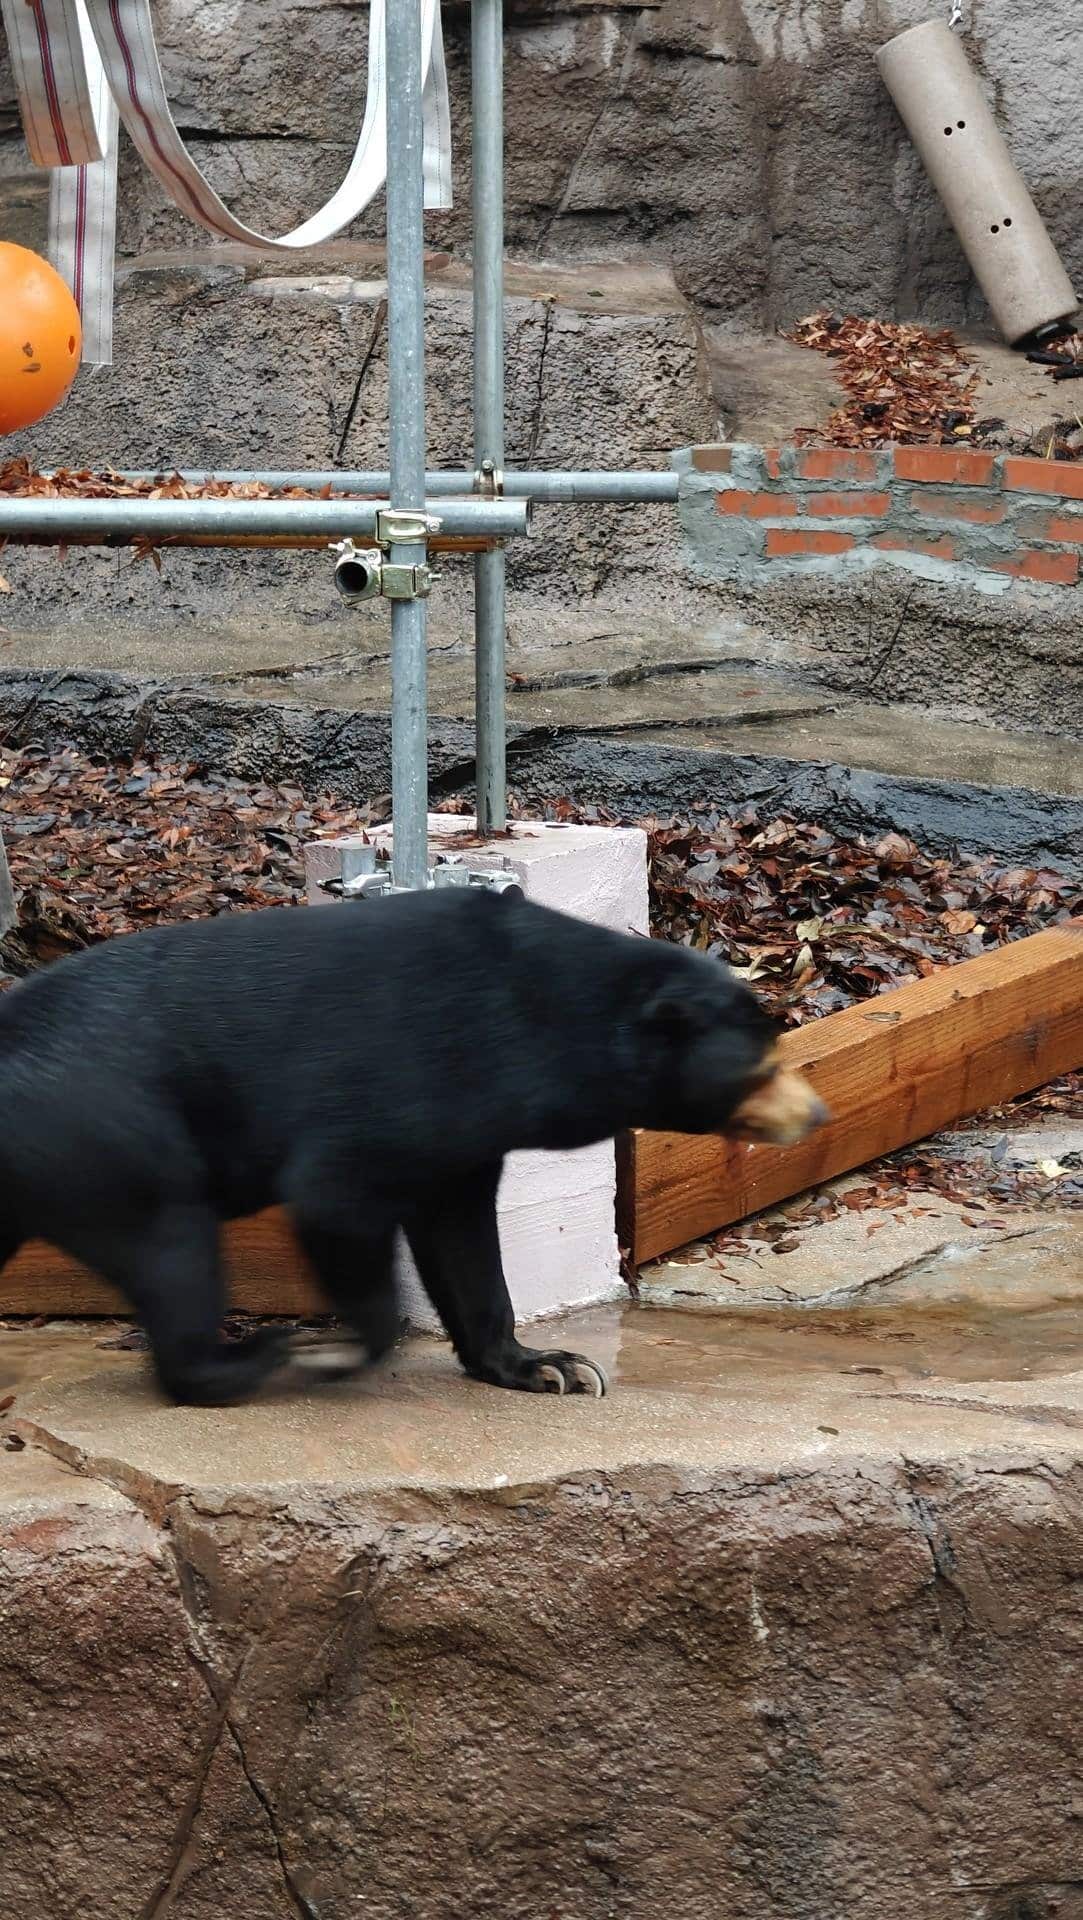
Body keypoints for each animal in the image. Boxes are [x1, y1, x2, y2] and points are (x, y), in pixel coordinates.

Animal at [0, 886, 826, 1404]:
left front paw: (549, 1368)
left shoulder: (469, 1132)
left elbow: (462, 1238)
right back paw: (244, 1361)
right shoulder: (406, 1072)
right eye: (761, 1064)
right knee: (174, 1248)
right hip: (114, 1135)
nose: (815, 1114)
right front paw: (335, 1350)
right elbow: (335, 1191)